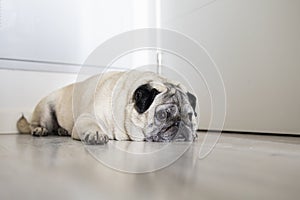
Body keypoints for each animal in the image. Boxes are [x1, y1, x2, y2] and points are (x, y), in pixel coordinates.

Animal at [17, 71, 198, 145]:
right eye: (162, 115)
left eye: (189, 117)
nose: (181, 124)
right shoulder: (86, 118)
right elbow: (92, 125)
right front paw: (96, 134)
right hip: (45, 110)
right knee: (37, 124)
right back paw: (39, 130)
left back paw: (62, 130)